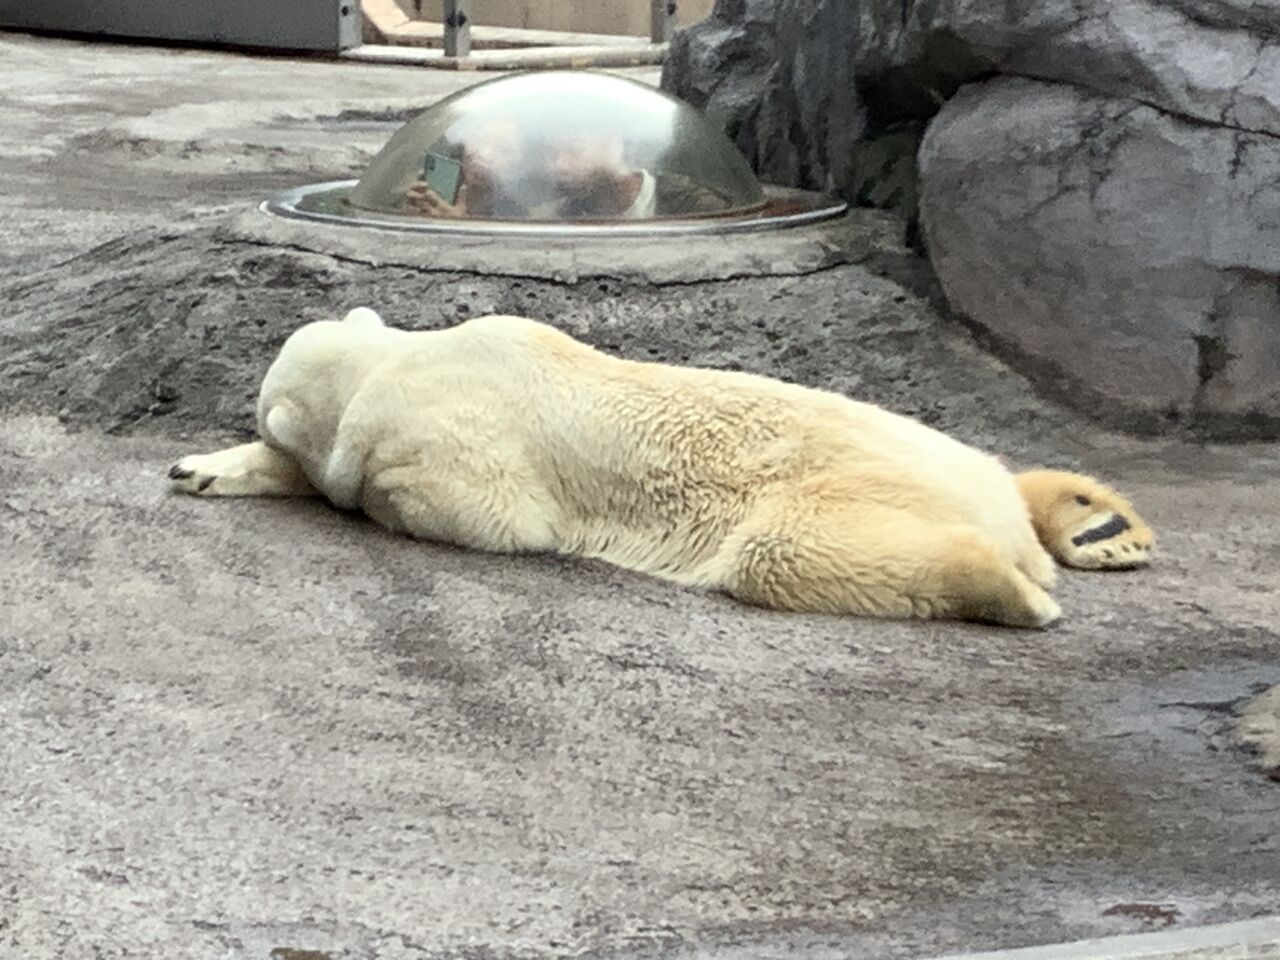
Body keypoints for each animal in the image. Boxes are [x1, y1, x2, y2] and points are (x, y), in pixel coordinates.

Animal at [169, 308, 1154, 628]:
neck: (408, 359)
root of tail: (997, 514)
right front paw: (196, 468)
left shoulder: (451, 450)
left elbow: (479, 517)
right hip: (943, 450)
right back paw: (1103, 525)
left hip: (849, 490)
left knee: (787, 553)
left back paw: (1016, 592)